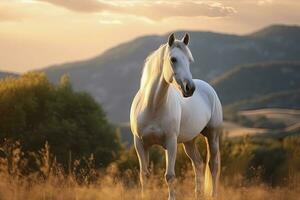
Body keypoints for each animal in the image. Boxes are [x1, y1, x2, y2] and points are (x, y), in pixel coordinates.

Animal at [129, 33, 223, 200]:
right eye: (173, 59)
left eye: (190, 60)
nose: (190, 88)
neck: (152, 106)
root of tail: (208, 88)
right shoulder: (140, 143)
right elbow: (144, 175)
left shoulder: (171, 142)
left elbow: (170, 176)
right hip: (189, 141)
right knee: (198, 164)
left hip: (212, 135)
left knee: (213, 166)